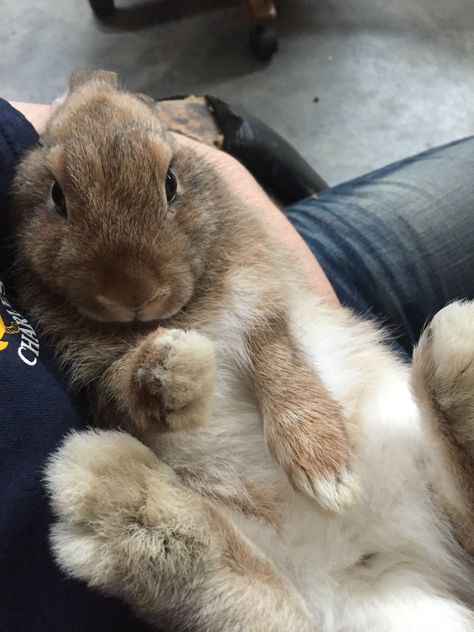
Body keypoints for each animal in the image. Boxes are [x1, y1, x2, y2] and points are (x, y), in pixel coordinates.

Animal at [9, 70, 358, 512]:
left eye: (170, 183)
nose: (135, 295)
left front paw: (328, 474)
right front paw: (165, 371)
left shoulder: (259, 298)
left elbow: (279, 363)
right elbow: (123, 386)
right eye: (57, 196)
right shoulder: (100, 386)